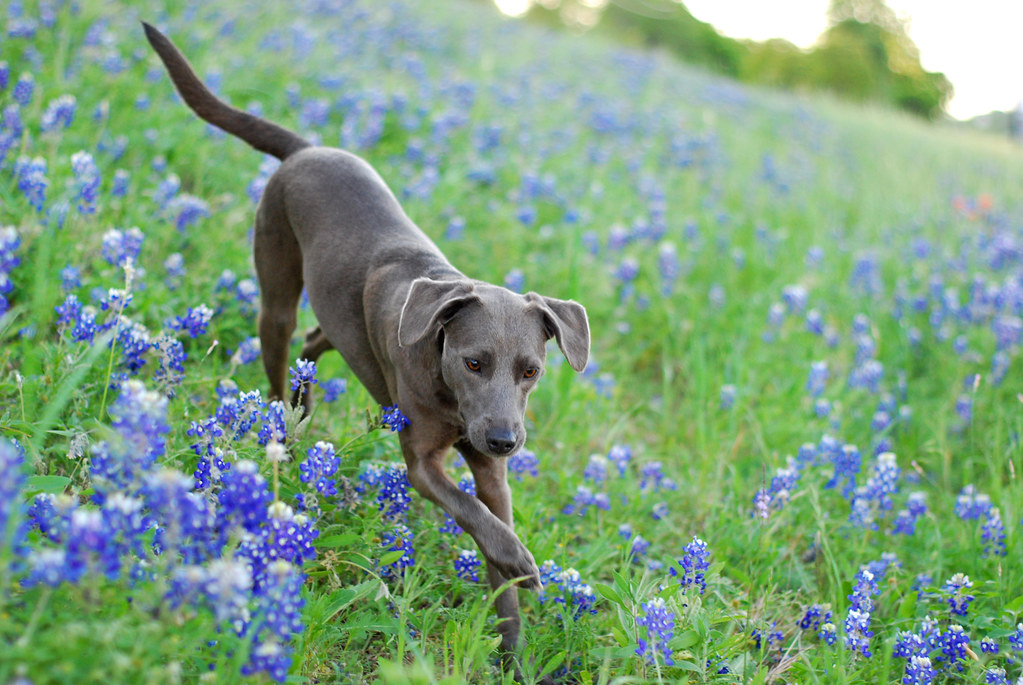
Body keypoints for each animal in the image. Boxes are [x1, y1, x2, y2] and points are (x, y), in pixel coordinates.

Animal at [144, 21, 593, 670]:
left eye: (531, 371)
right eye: (473, 362)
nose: (507, 440)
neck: (451, 395)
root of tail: (306, 149)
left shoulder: (490, 469)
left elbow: (492, 533)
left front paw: (512, 651)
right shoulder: (423, 463)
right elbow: (470, 513)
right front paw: (521, 563)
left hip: (337, 317)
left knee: (316, 342)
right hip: (275, 291)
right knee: (281, 360)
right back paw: (286, 432)